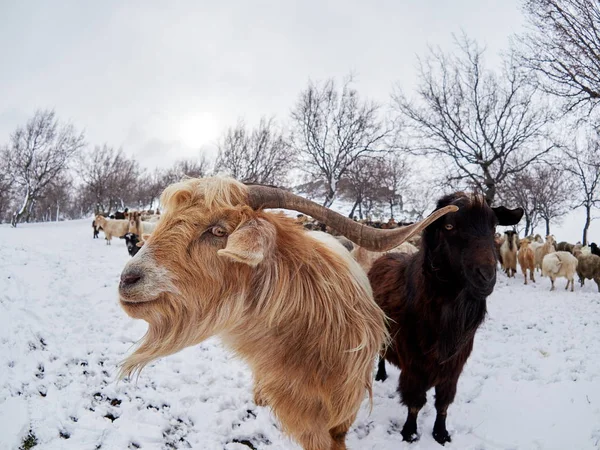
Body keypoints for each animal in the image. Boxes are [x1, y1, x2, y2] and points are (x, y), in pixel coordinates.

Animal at [368, 192, 524, 444]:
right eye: (449, 226)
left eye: (493, 227)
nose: (486, 276)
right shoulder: (414, 365)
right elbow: (415, 402)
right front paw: (409, 433)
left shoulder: (454, 366)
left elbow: (443, 402)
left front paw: (441, 434)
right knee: (381, 354)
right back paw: (380, 375)